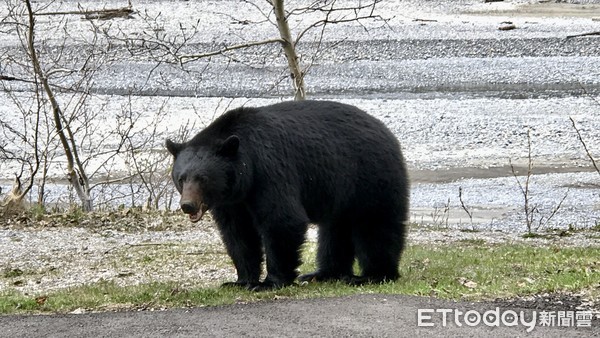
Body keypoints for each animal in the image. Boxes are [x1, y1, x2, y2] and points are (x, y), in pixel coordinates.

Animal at [166, 99, 410, 290]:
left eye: (203, 178)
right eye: (181, 178)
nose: (187, 205)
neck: (246, 170)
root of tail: (387, 132)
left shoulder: (270, 171)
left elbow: (281, 220)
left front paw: (270, 282)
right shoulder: (233, 200)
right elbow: (238, 233)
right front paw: (241, 280)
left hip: (370, 177)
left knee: (375, 226)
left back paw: (373, 275)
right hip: (340, 192)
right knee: (334, 230)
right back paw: (324, 273)